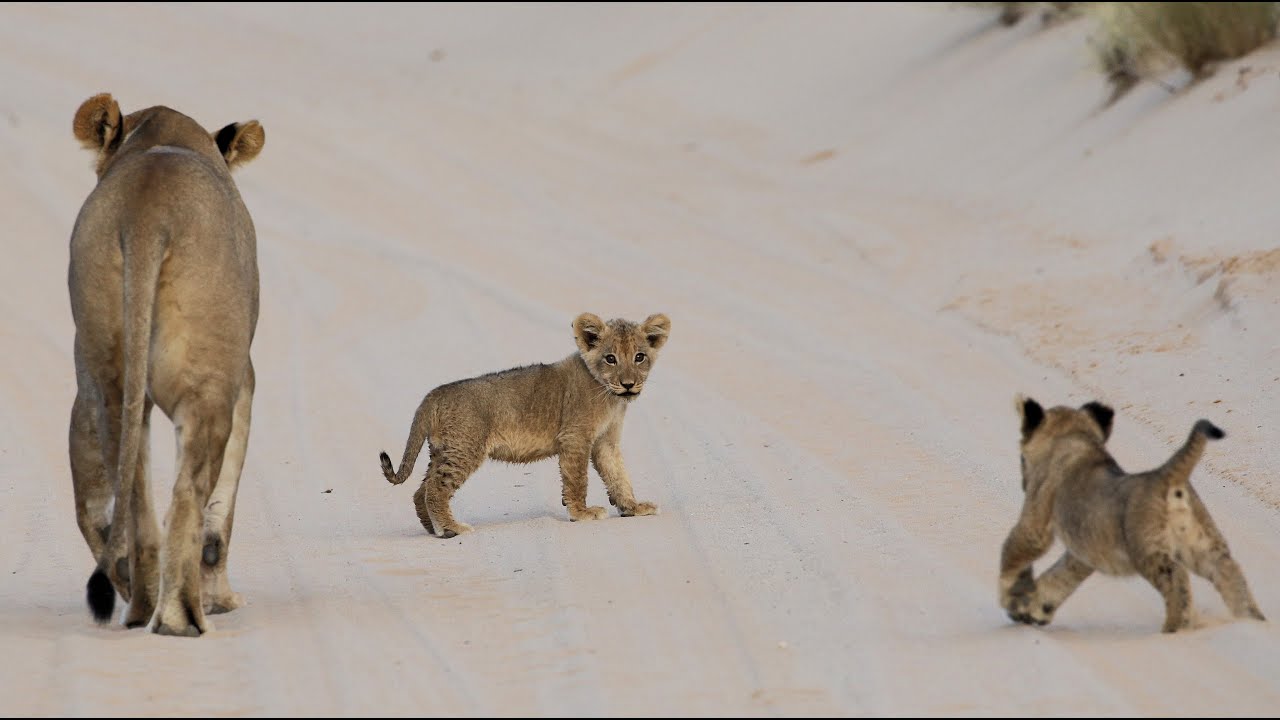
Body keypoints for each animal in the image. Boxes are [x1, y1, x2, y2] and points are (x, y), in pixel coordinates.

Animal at [68, 93, 264, 636]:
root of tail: (146, 216)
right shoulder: (245, 380)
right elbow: (220, 512)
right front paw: (224, 599)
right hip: (208, 384)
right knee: (187, 495)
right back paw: (182, 616)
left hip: (106, 376)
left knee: (129, 490)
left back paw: (139, 606)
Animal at [379, 313, 671, 537]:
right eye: (611, 358)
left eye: (639, 357)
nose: (628, 384)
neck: (609, 396)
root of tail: (435, 393)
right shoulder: (575, 437)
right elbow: (577, 478)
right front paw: (581, 513)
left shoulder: (605, 441)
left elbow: (618, 475)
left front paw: (633, 507)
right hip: (464, 449)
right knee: (435, 489)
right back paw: (452, 529)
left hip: (442, 450)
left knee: (420, 491)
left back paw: (434, 529)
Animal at [999, 396, 1266, 633]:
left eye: (1021, 458)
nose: (1023, 482)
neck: (1076, 438)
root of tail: (1165, 474)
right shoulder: (1085, 550)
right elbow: (1060, 576)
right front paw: (1033, 607)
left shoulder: (1036, 523)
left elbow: (1014, 552)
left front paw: (1011, 597)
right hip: (1204, 547)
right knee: (1229, 573)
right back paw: (1252, 621)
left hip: (1148, 551)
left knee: (1177, 580)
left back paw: (1176, 628)